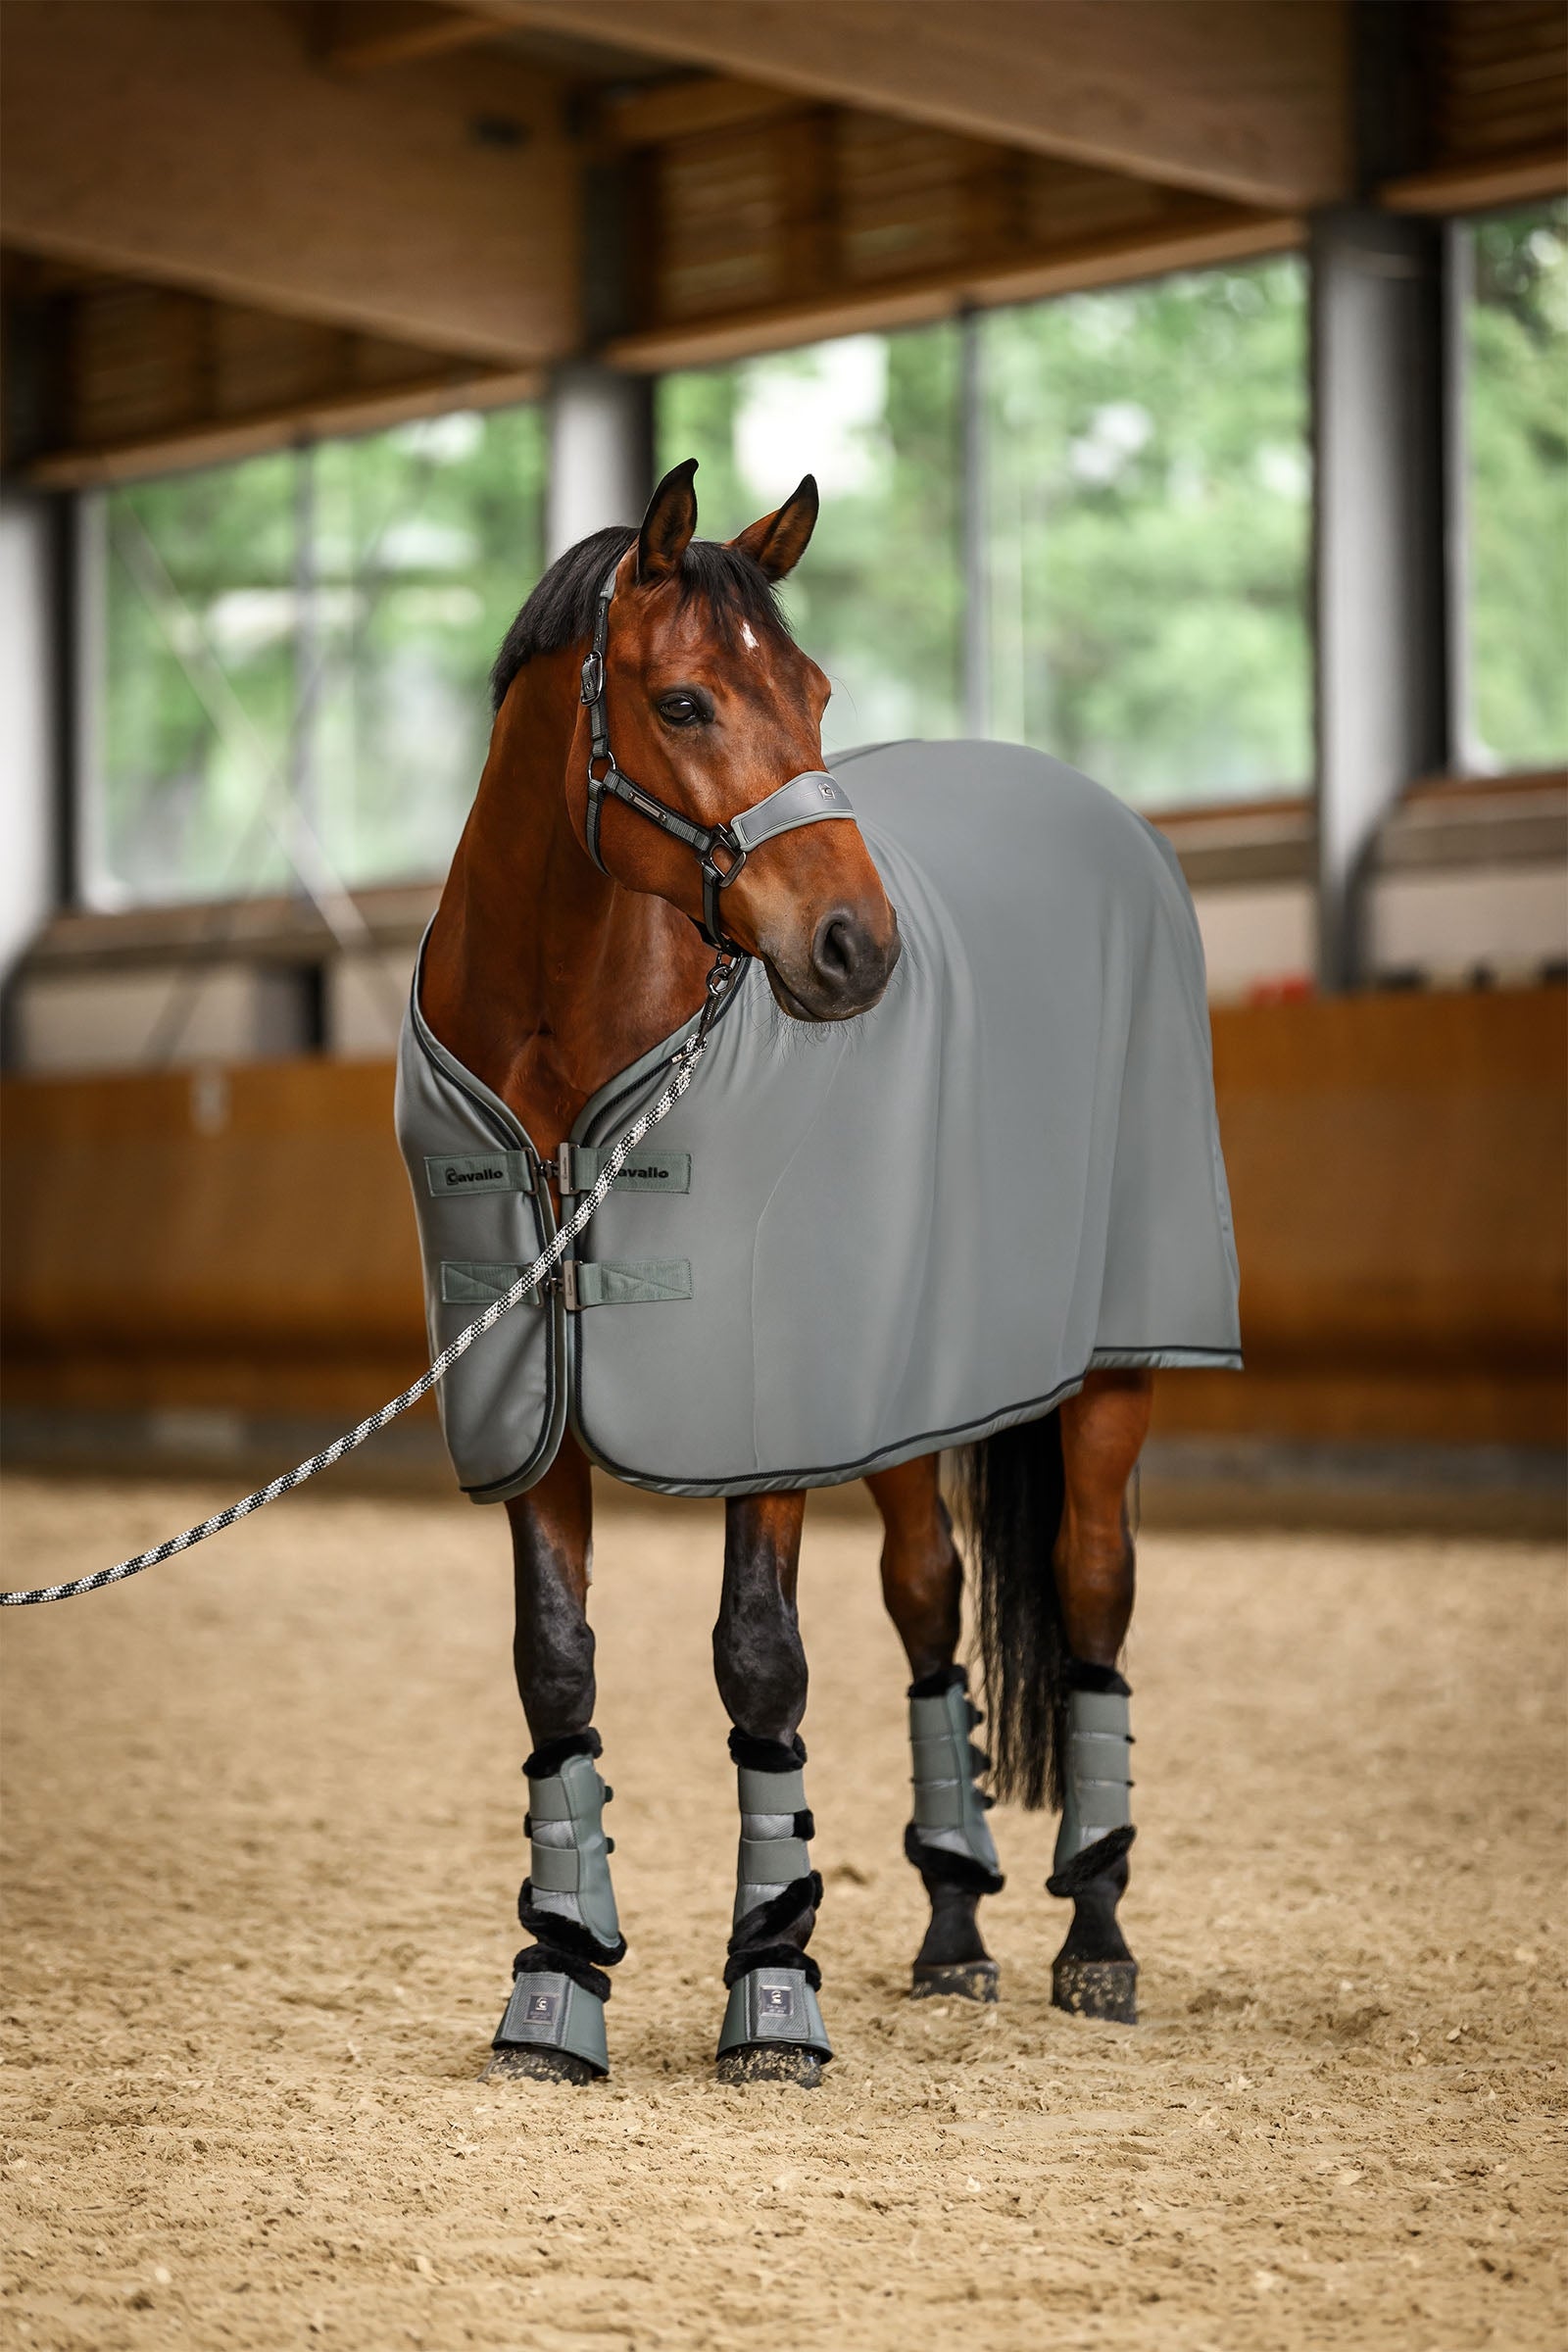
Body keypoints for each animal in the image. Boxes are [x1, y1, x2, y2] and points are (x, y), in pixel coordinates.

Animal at [406, 457, 1240, 2086]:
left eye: (813, 690)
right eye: (682, 702)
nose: (859, 948)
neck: (564, 1049)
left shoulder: (762, 1421)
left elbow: (759, 1665)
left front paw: (773, 1989)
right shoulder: (529, 1403)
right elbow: (557, 1667)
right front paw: (556, 1979)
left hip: (1114, 1379)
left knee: (1092, 1597)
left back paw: (1094, 1939)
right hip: (910, 1397)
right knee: (930, 1606)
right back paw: (954, 1930)